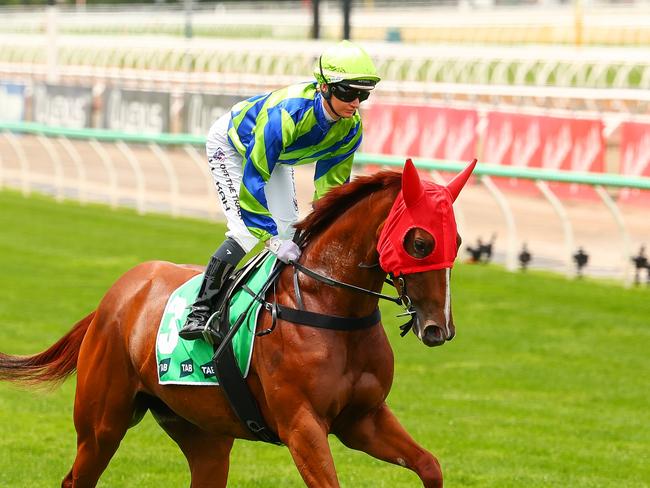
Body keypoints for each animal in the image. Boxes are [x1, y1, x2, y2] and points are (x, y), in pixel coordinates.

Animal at [0, 158, 476, 486]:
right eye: (419, 242)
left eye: (457, 241)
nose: (439, 328)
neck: (331, 308)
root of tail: (114, 296)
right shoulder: (302, 426)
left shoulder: (364, 419)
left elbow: (430, 466)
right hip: (102, 423)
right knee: (77, 476)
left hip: (203, 432)